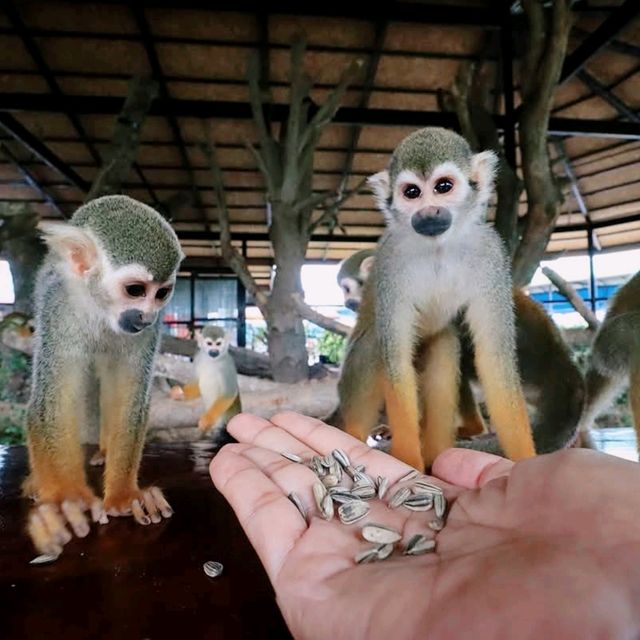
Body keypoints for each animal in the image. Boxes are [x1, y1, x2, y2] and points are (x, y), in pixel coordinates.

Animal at [25, 194, 184, 556]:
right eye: (136, 290)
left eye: (162, 293)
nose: (146, 316)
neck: (100, 309)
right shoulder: (60, 308)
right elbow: (52, 403)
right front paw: (67, 501)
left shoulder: (147, 329)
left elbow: (128, 399)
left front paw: (125, 496)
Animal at [342, 127, 536, 468]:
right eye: (412, 192)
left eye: (443, 187)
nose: (429, 211)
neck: (439, 247)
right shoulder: (390, 261)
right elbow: (395, 360)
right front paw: (407, 459)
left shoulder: (491, 255)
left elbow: (495, 361)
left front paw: (528, 462)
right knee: (375, 343)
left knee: (445, 344)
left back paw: (439, 449)